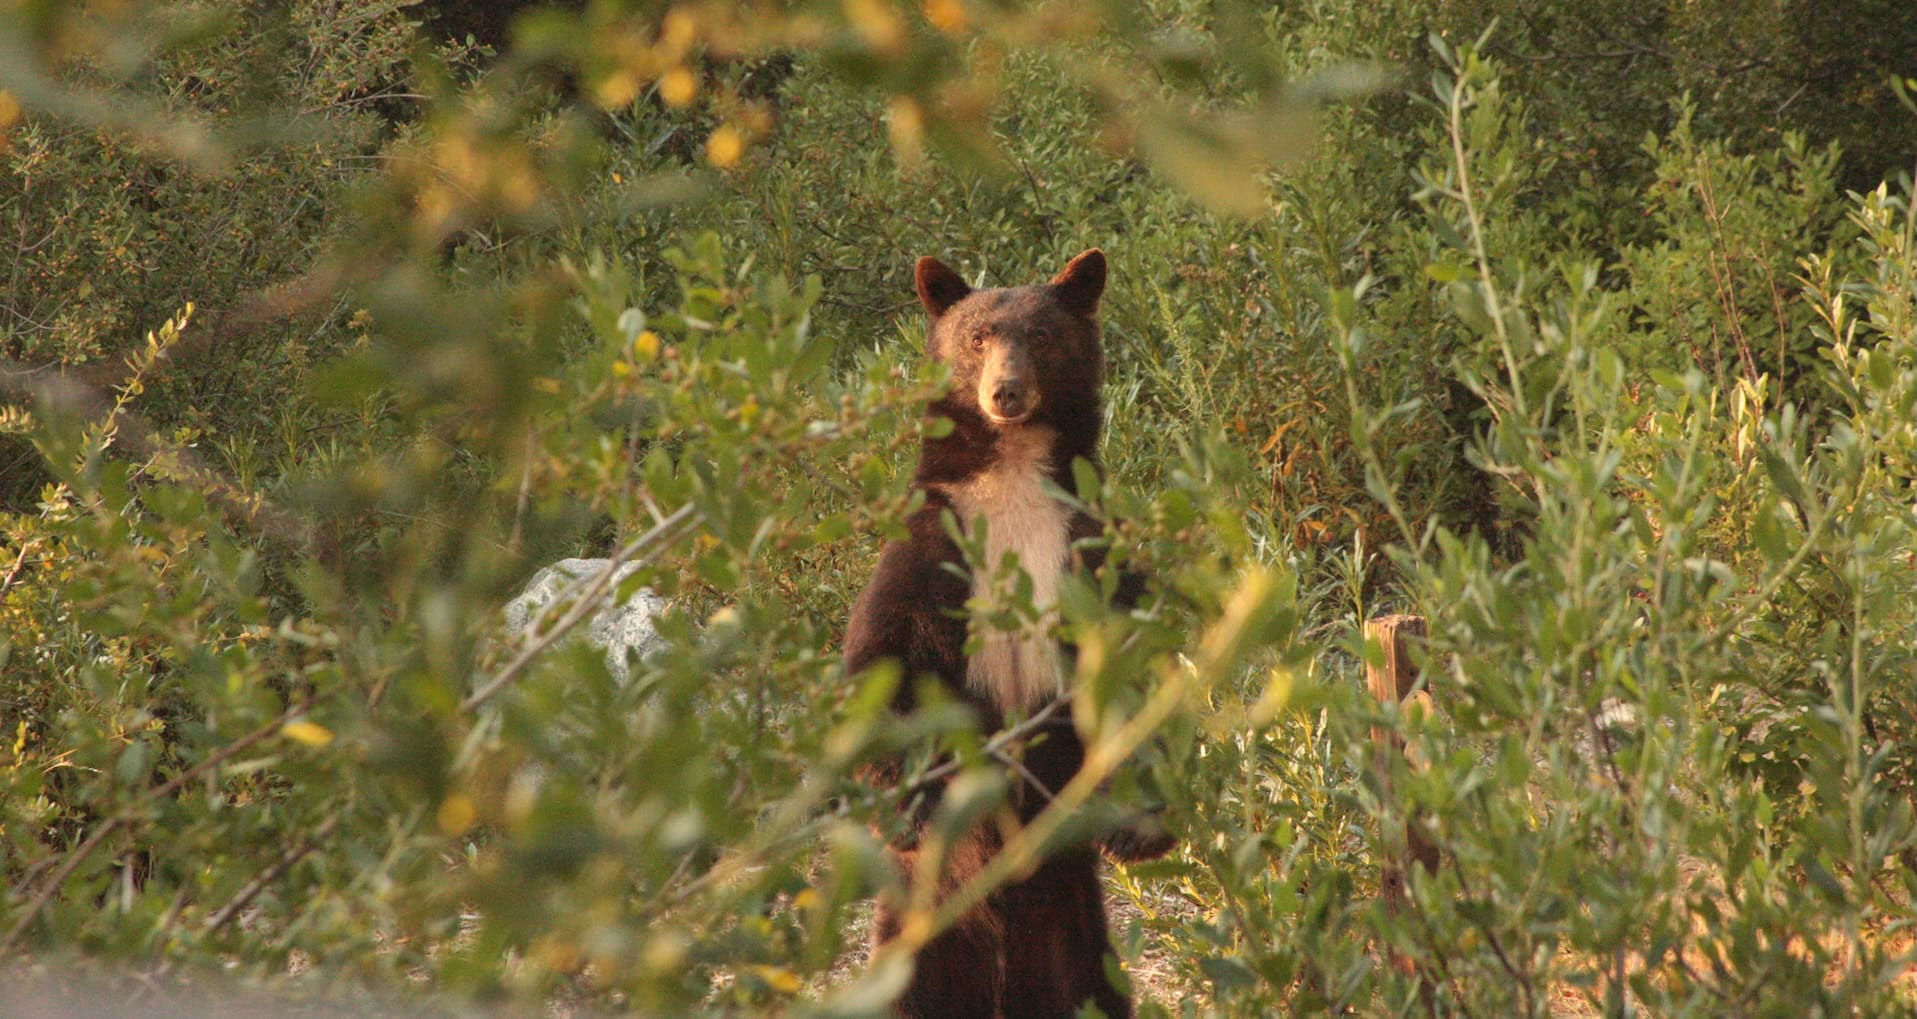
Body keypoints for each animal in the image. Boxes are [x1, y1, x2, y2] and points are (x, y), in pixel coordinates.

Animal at [844, 249, 1169, 1019]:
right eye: (976, 337)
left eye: (1041, 335)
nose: (1007, 391)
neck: (1014, 474)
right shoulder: (934, 544)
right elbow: (884, 658)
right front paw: (905, 806)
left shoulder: (1084, 544)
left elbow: (1137, 662)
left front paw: (1136, 822)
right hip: (914, 941)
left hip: (1078, 943)